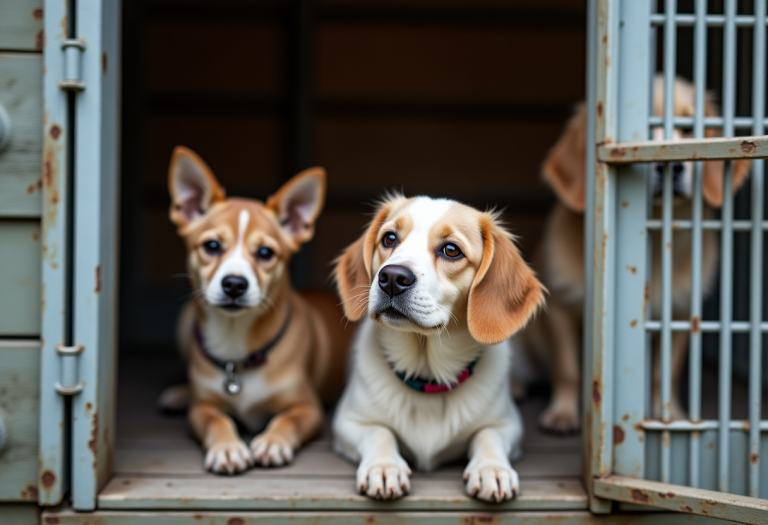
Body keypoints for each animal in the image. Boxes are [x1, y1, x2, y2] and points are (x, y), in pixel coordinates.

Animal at [169, 146, 352, 474]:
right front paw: (227, 447)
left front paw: (272, 441)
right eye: (212, 246)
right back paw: (179, 393)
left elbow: (287, 420)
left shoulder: (308, 408)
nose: (234, 284)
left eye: (265, 253)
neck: (236, 342)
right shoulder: (202, 408)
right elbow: (217, 420)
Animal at [332, 194, 544, 502]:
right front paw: (384, 465)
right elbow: (379, 432)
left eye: (451, 250)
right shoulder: (347, 422)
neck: (427, 377)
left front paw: (491, 469)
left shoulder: (508, 425)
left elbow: (487, 436)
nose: (392, 277)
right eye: (389, 238)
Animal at [520, 75, 752, 432]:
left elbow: (664, 373)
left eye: (688, 128)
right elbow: (568, 368)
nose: (671, 168)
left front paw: (672, 418)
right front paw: (563, 414)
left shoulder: (679, 315)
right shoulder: (561, 307)